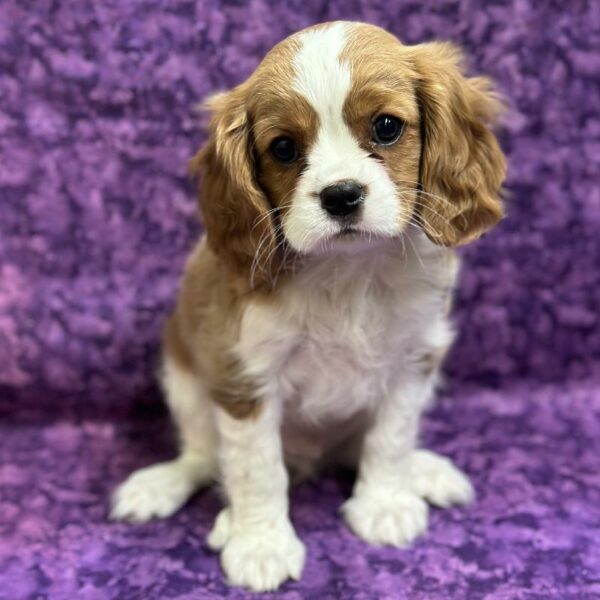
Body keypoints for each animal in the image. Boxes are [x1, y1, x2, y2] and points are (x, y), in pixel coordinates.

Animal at [111, 22, 506, 592]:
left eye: (387, 127)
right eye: (283, 148)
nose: (341, 195)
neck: (348, 271)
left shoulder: (414, 358)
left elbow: (391, 437)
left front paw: (384, 503)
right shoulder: (243, 377)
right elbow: (257, 469)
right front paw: (260, 543)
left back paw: (422, 470)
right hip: (183, 381)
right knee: (203, 457)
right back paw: (171, 489)